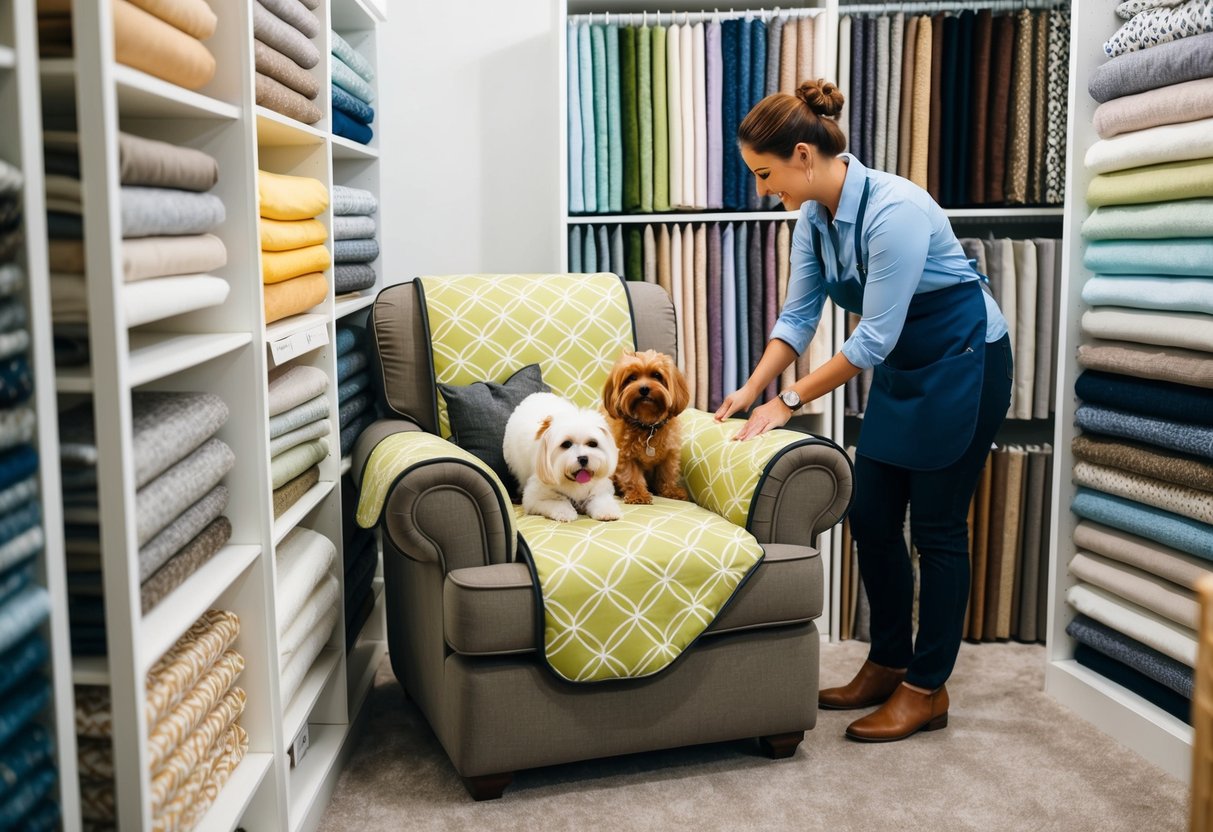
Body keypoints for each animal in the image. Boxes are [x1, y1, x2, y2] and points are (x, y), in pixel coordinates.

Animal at [502, 395, 621, 523]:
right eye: (566, 444)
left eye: (592, 443)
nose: (583, 458)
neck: (573, 482)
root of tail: (535, 395)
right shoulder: (535, 497)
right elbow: (555, 502)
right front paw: (565, 512)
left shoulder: (600, 488)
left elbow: (601, 499)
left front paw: (607, 512)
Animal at [599, 349, 688, 504]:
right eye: (632, 377)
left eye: (656, 375)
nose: (644, 388)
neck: (648, 426)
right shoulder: (626, 456)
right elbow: (632, 476)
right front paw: (638, 495)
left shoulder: (669, 455)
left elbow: (667, 474)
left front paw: (671, 491)